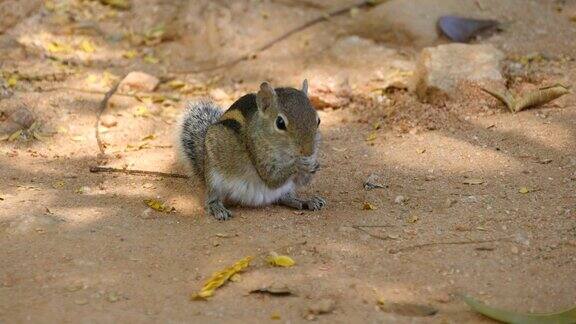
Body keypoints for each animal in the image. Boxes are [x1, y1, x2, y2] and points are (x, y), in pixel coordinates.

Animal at [177, 80, 324, 220]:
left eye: (318, 120)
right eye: (280, 123)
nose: (308, 151)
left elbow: (301, 181)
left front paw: (314, 164)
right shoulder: (257, 153)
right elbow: (271, 179)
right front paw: (300, 164)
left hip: (286, 188)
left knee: (284, 197)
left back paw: (304, 201)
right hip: (214, 178)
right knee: (212, 198)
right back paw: (217, 208)